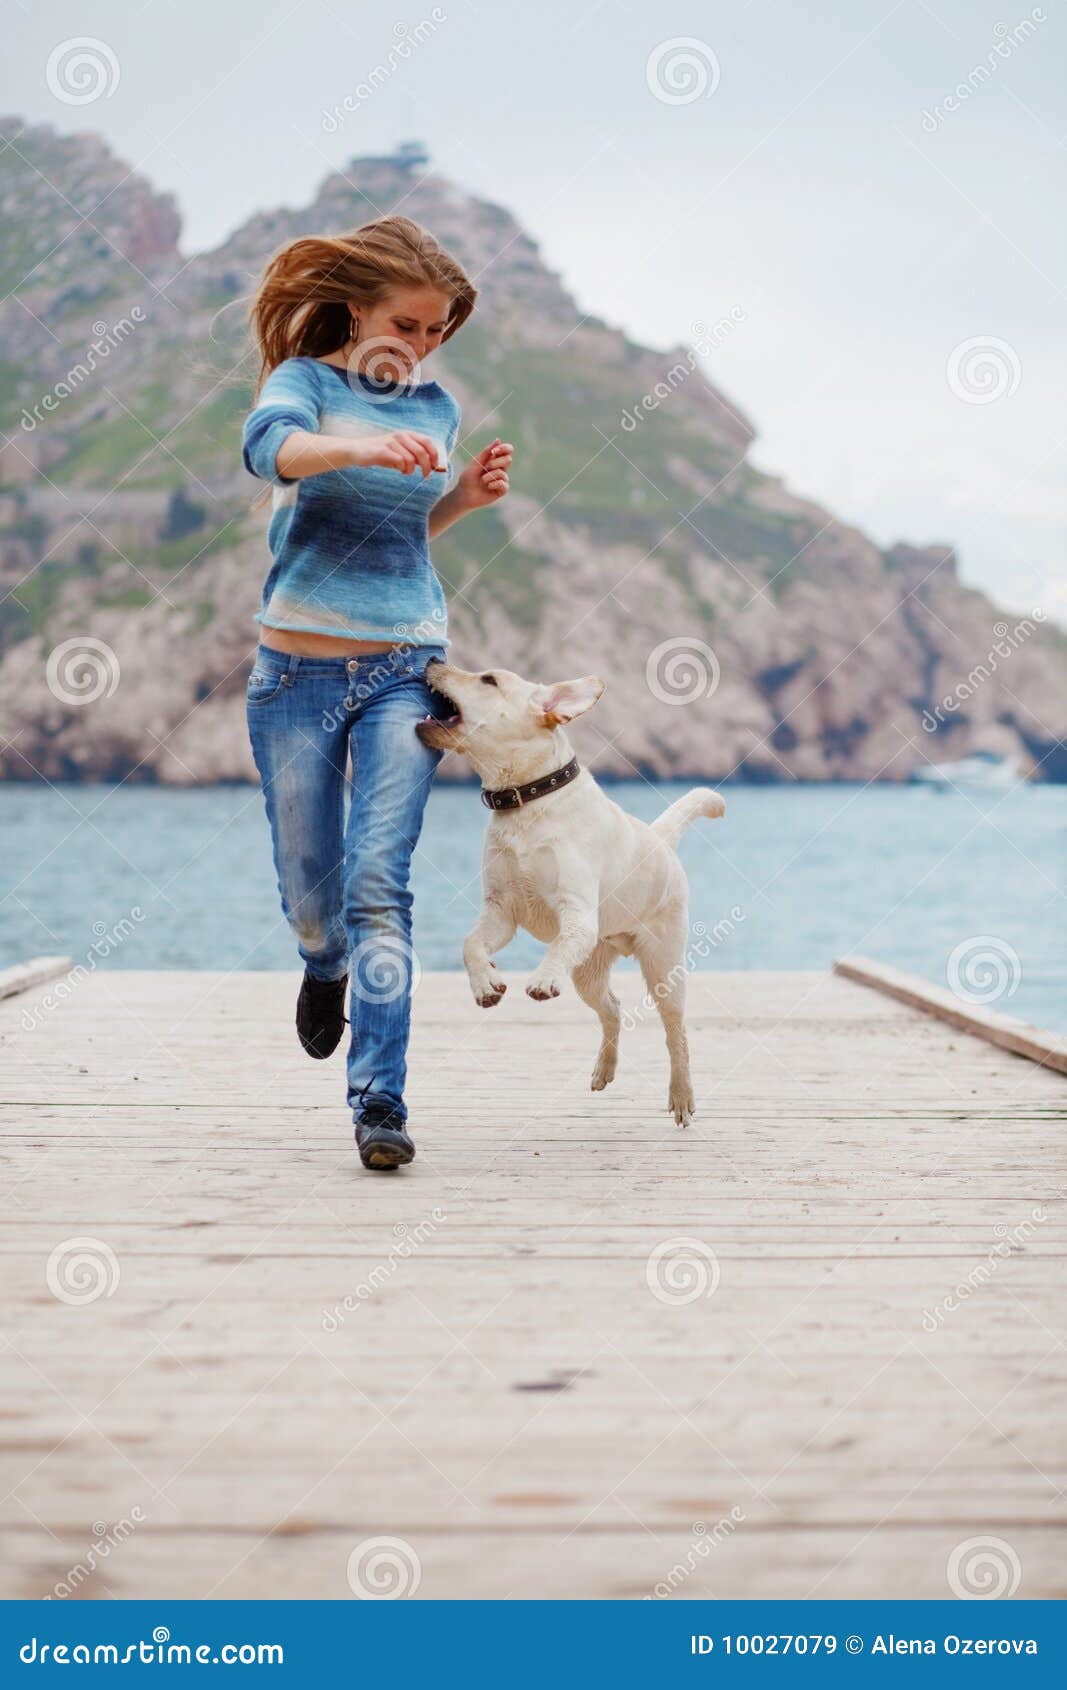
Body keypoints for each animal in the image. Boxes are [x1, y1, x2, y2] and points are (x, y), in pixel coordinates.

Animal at [417, 659, 727, 1122]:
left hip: (663, 966)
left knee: (677, 1033)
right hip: (589, 973)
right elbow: (470, 944)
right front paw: (486, 982)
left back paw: (681, 1096)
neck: (524, 801)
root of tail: (661, 839)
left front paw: (543, 977)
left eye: (489, 680)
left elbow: (559, 945)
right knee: (613, 1009)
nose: (433, 660)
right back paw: (604, 1069)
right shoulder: (501, 911)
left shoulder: (576, 914)